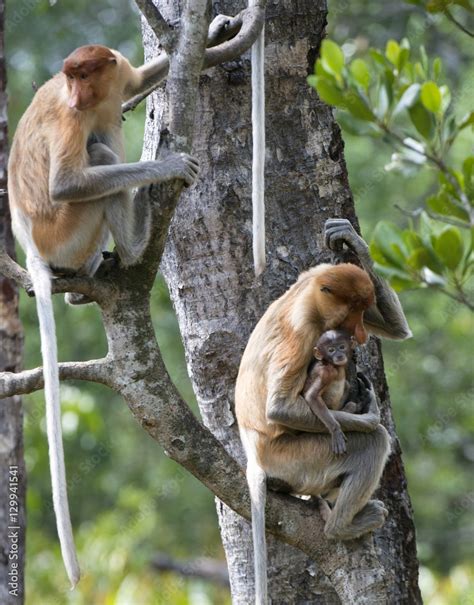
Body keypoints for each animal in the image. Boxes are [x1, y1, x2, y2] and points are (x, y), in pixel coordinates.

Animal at [7, 44, 200, 588]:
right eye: (70, 81)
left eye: (84, 74)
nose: (76, 95)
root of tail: (32, 249)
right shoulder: (69, 119)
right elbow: (68, 182)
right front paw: (166, 165)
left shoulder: (118, 78)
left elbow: (139, 78)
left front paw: (227, 33)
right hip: (67, 232)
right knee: (99, 156)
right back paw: (131, 246)